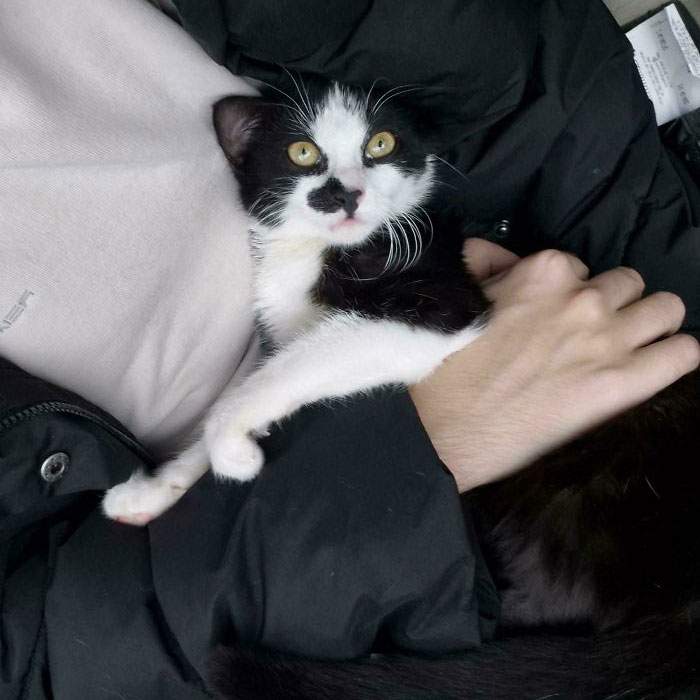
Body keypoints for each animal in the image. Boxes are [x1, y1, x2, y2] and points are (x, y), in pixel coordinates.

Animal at [101, 83, 490, 524]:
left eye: (381, 144)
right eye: (302, 152)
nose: (345, 193)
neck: (320, 251)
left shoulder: (443, 303)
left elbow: (289, 368)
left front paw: (231, 448)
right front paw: (154, 492)